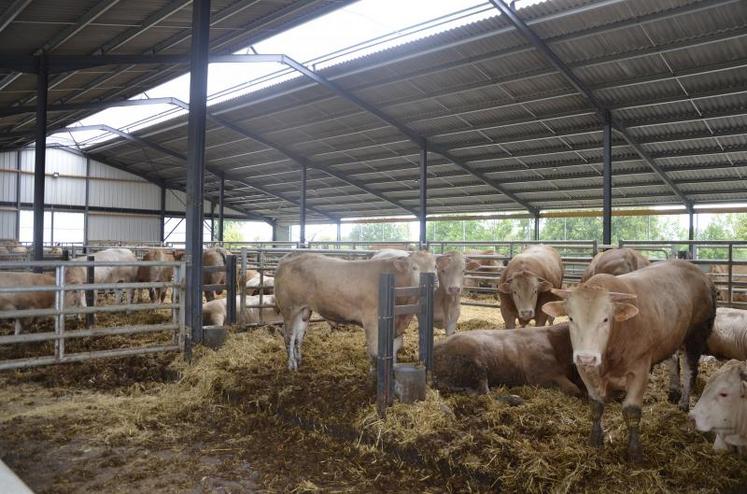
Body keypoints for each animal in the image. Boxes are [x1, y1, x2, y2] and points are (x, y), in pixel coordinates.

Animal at [274, 251, 438, 370]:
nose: (434, 281)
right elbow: (375, 352)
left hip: (304, 310)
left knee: (298, 335)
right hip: (289, 309)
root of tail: (288, 258)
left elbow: (395, 348)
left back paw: (298, 360)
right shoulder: (372, 320)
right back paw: (291, 365)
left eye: (435, 266)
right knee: (289, 336)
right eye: (414, 267)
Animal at [544, 260, 720, 462]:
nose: (586, 357)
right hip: (672, 336)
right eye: (571, 318)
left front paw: (634, 452)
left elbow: (632, 411)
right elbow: (596, 405)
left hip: (696, 334)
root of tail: (701, 274)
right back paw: (674, 392)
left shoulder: (639, 369)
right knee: (673, 359)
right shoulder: (586, 370)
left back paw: (684, 402)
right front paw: (595, 439)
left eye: (605, 319)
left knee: (689, 368)